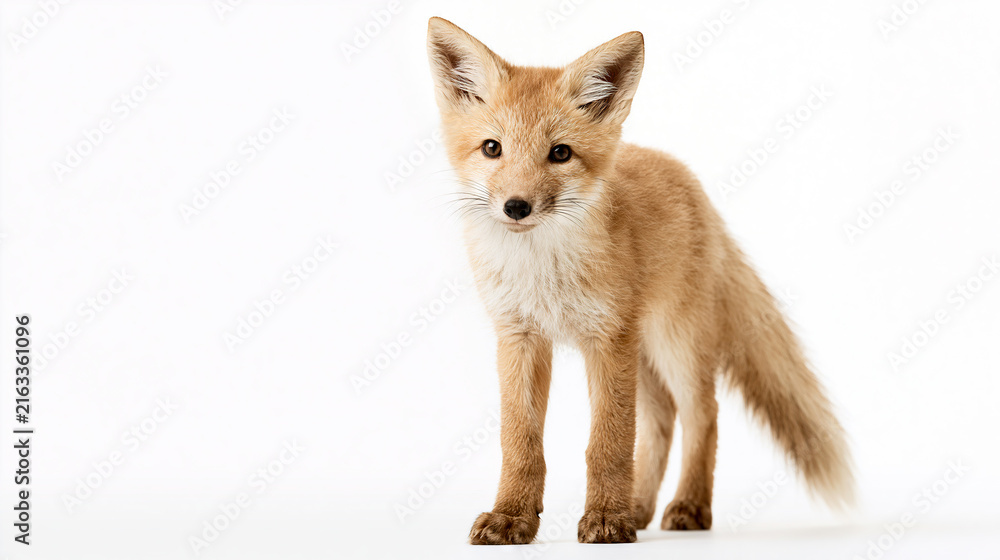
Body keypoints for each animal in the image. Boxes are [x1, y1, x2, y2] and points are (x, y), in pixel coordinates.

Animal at [426, 17, 854, 545]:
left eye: (560, 153)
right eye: (492, 148)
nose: (516, 207)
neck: (545, 273)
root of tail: (691, 185)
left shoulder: (607, 339)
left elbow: (608, 443)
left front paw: (607, 519)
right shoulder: (520, 337)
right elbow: (521, 442)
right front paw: (512, 517)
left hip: (675, 344)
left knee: (702, 416)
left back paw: (688, 506)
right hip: (645, 353)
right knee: (661, 423)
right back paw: (640, 506)